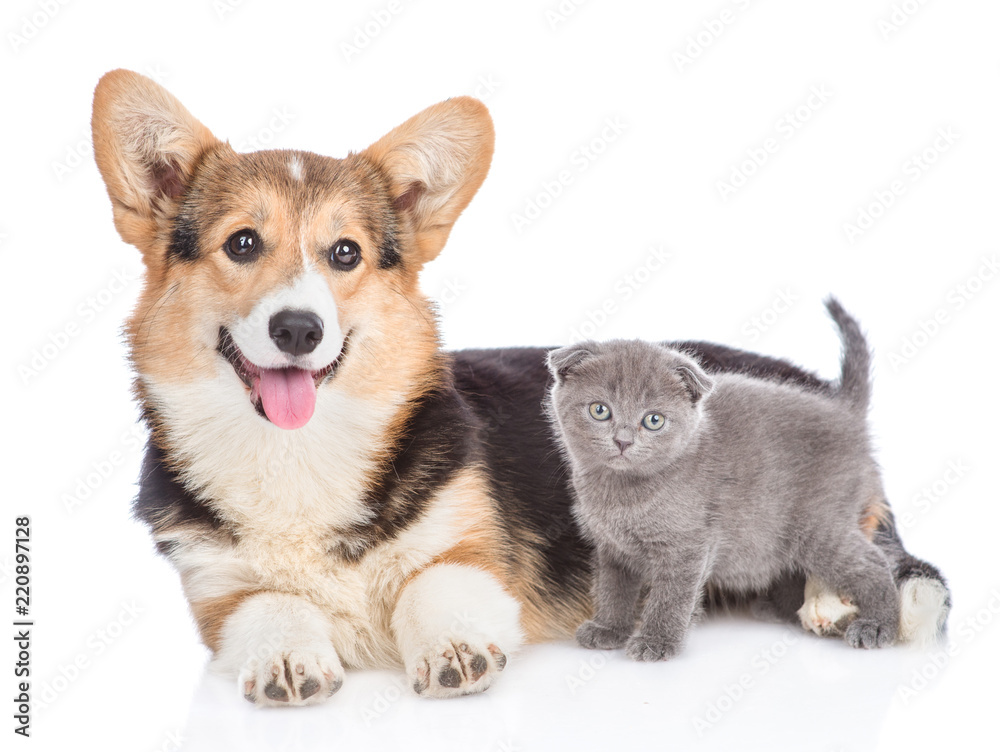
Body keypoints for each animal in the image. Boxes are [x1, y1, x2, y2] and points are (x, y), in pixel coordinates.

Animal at [548, 296, 900, 660]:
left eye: (654, 420)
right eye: (599, 410)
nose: (622, 440)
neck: (621, 494)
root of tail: (845, 413)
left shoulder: (688, 546)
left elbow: (671, 597)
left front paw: (656, 642)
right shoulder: (613, 549)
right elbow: (612, 589)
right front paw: (608, 629)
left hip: (818, 524)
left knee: (872, 561)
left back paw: (878, 625)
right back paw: (779, 609)